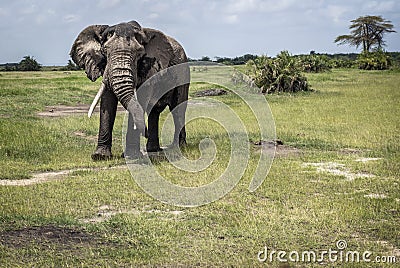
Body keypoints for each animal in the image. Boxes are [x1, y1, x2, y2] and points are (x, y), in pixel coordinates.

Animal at [70, 21, 189, 160]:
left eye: (139, 54)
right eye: (105, 51)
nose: (145, 133)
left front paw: (130, 156)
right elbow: (107, 102)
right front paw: (100, 156)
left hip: (183, 72)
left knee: (178, 108)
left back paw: (178, 147)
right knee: (154, 112)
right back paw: (153, 149)